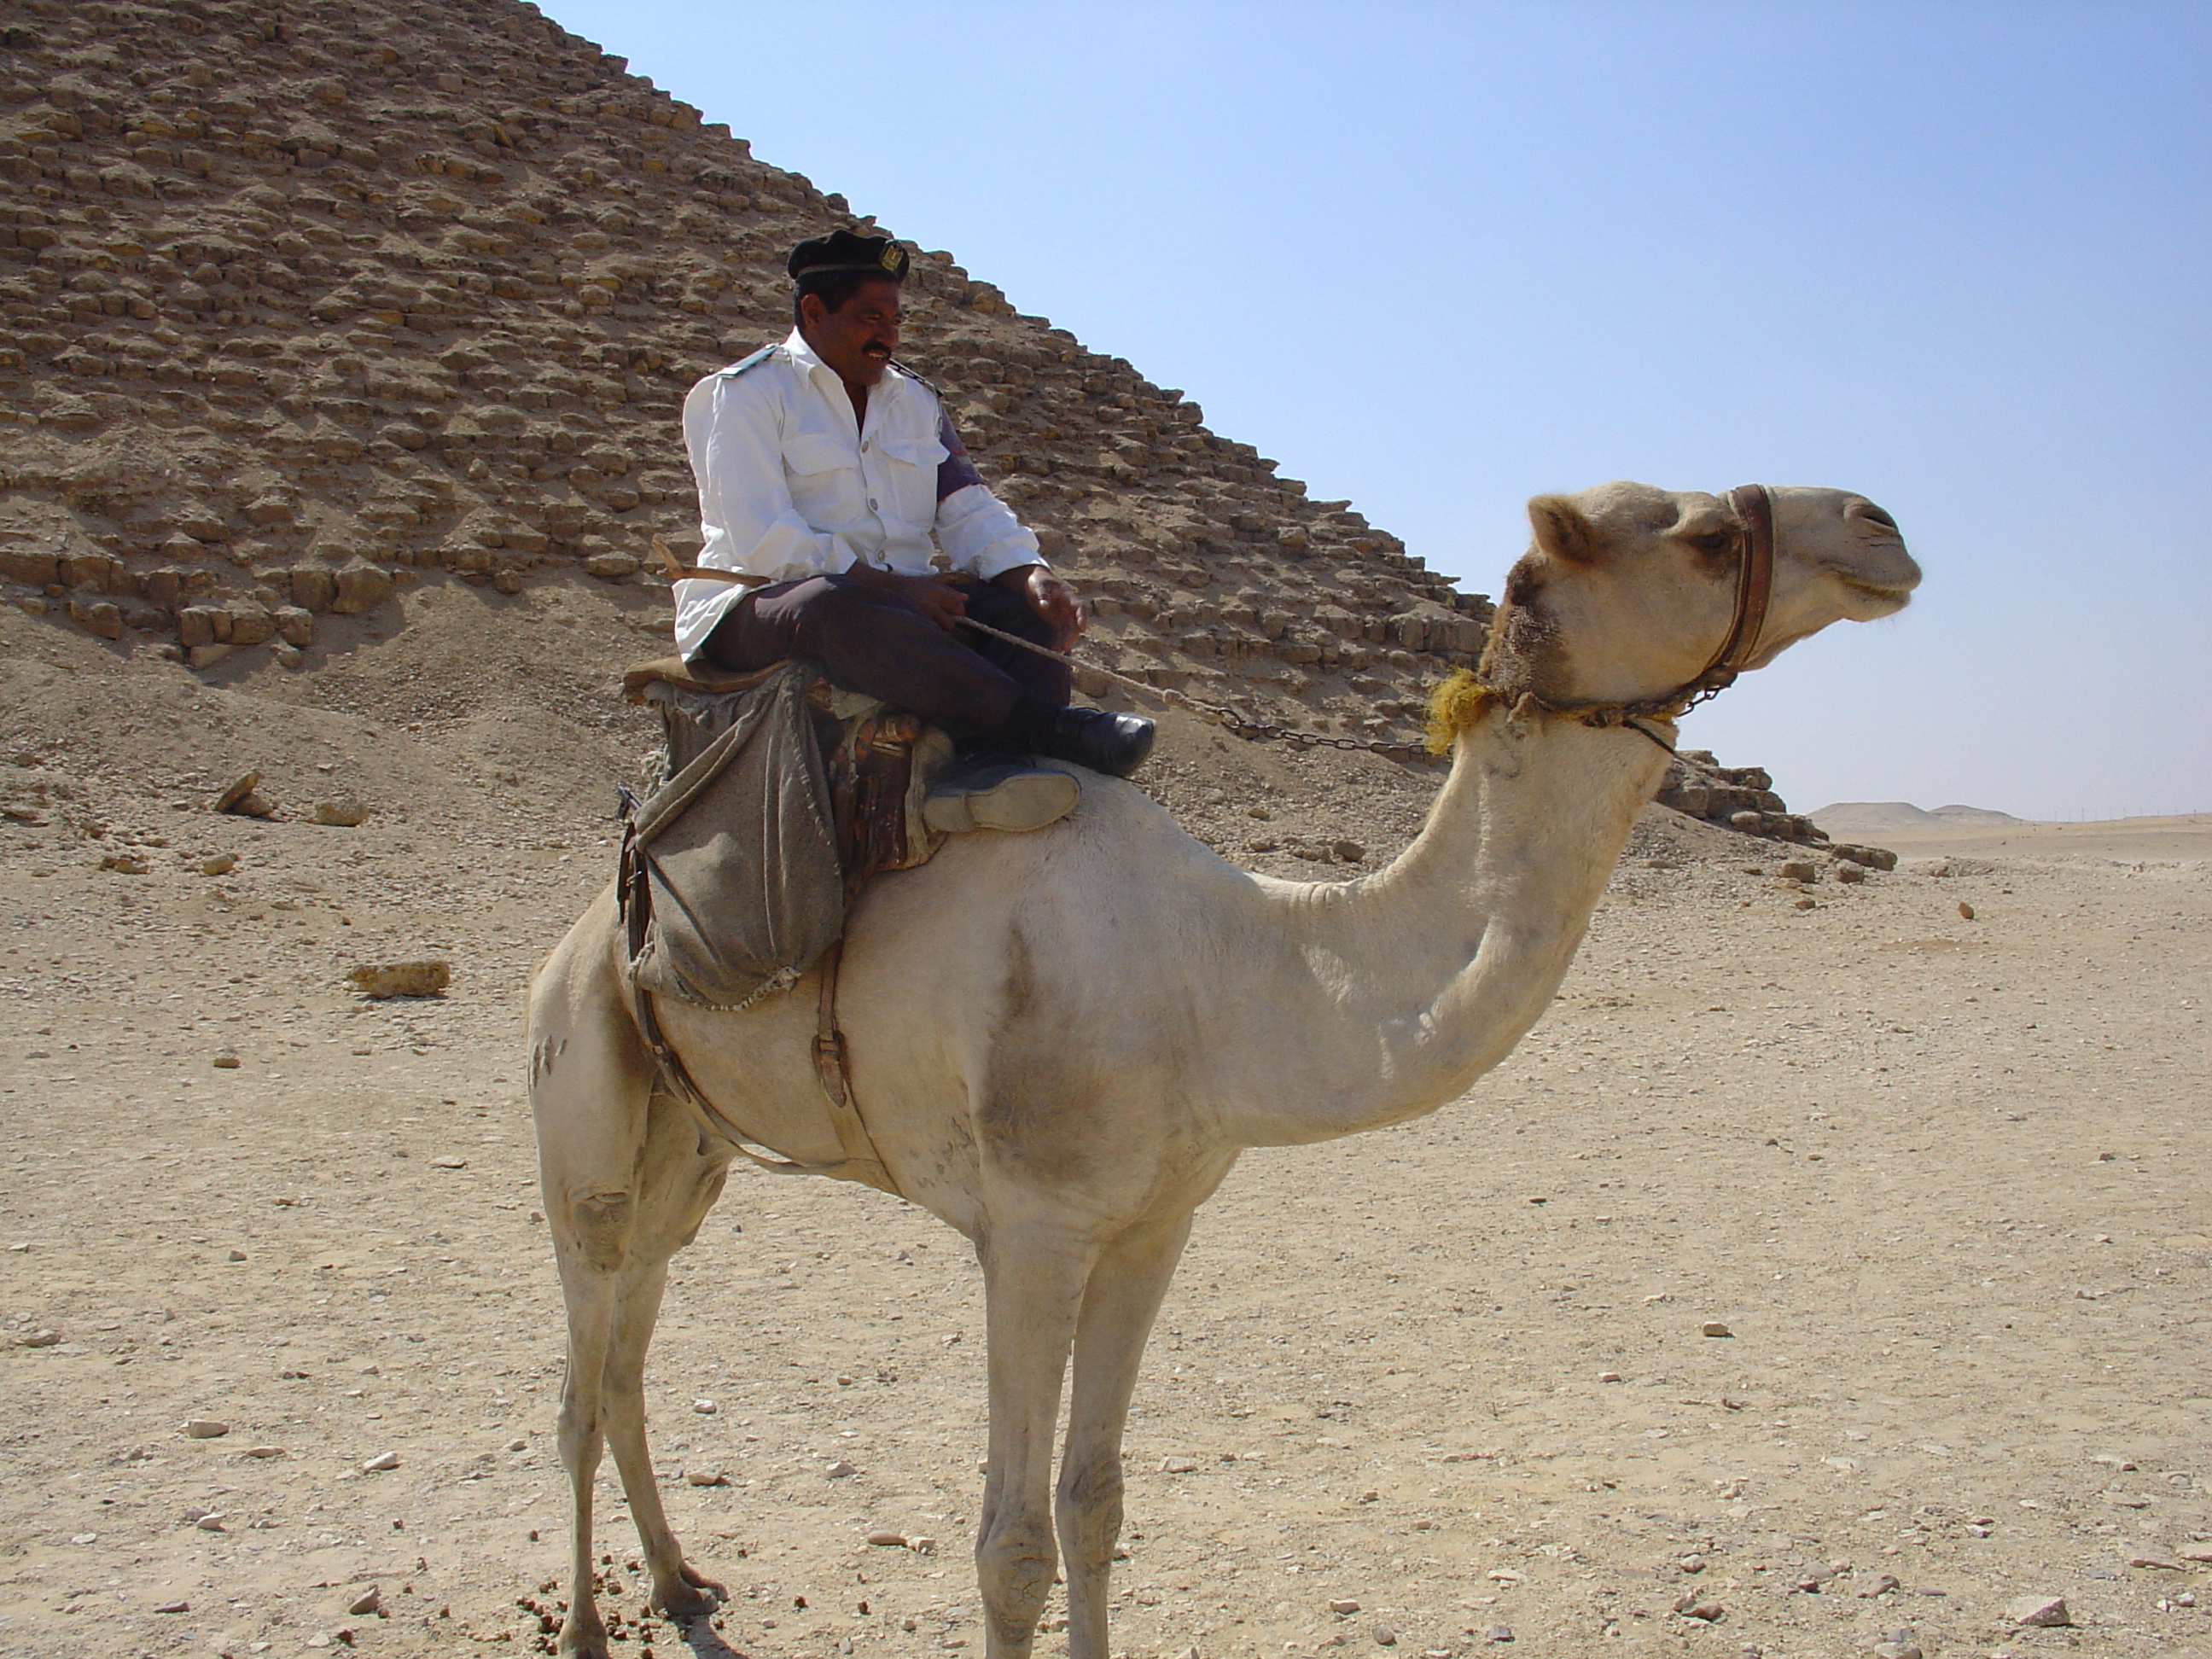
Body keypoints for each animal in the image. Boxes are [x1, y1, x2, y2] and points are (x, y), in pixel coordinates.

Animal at [526, 480, 1911, 1659]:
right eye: (1706, 537)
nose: (1882, 528)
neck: (1225, 973)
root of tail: (596, 920)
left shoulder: (1157, 1222)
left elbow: (1093, 1503)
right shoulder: (1032, 1231)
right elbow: (1008, 1550)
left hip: (694, 1144)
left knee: (634, 1344)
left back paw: (679, 1581)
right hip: (581, 1102)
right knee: (583, 1376)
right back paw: (591, 1621)